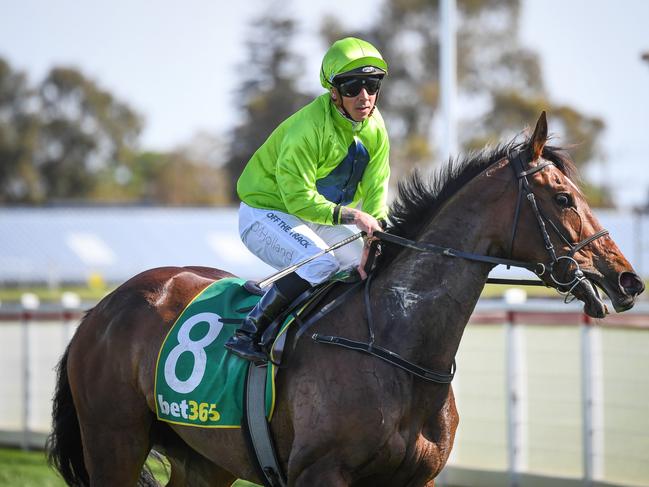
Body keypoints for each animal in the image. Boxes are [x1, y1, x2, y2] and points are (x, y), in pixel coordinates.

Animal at [46, 112, 644, 486]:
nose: (628, 281)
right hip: (113, 442)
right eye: (563, 198)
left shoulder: (416, 480)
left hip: (204, 458)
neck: (397, 349)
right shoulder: (320, 473)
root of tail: (101, 309)